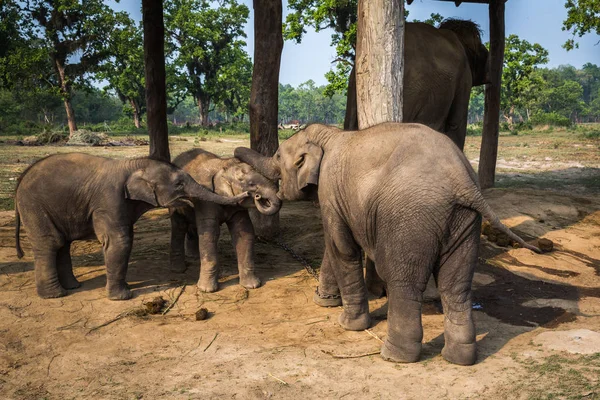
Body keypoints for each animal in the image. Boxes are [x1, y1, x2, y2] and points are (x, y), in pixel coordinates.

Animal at [15, 153, 247, 300]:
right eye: (179, 184)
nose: (247, 193)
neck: (134, 165)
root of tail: (20, 181)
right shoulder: (109, 200)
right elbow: (120, 241)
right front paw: (123, 297)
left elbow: (127, 236)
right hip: (34, 207)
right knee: (51, 243)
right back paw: (54, 295)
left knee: (62, 243)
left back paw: (73, 287)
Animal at [169, 148, 282, 292]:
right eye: (251, 184)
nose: (257, 197)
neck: (223, 166)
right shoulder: (206, 200)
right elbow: (210, 234)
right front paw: (207, 290)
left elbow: (244, 232)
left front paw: (252, 286)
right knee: (179, 226)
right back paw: (178, 270)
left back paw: (194, 257)